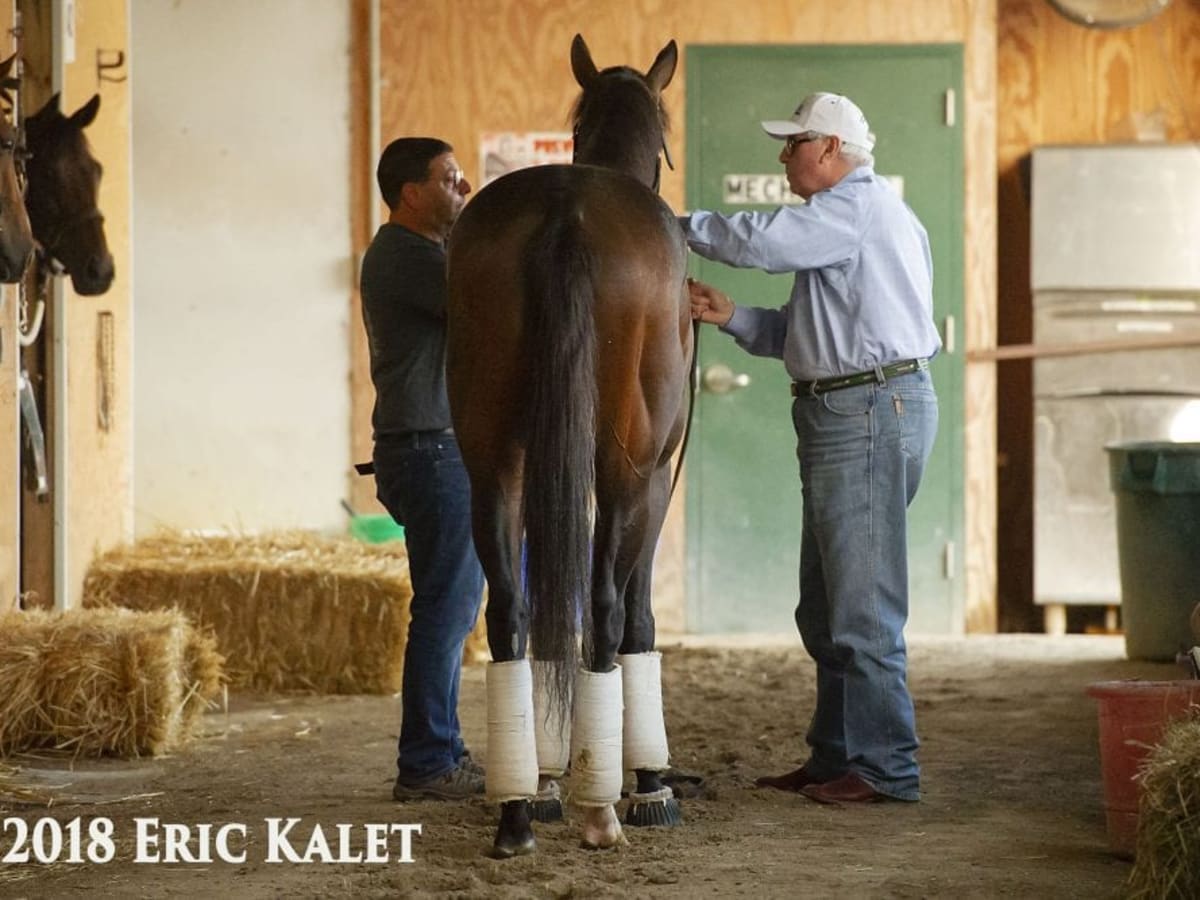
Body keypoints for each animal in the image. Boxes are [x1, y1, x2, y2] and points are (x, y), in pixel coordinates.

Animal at [446, 35, 691, 859]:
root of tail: (565, 214)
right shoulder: (656, 478)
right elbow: (637, 614)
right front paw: (650, 783)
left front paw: (550, 780)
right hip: (625, 469)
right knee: (607, 608)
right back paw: (603, 806)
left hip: (492, 460)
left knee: (512, 611)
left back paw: (520, 808)